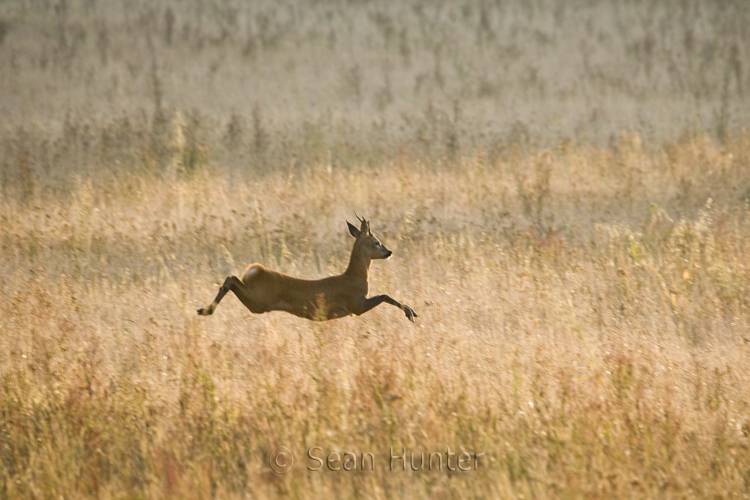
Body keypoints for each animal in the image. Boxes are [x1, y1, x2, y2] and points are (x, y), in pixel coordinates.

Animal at [200, 213, 420, 322]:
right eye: (376, 242)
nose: (389, 252)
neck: (354, 277)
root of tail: (255, 270)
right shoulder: (355, 304)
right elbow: (384, 295)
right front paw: (410, 312)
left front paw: (411, 311)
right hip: (261, 300)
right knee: (232, 279)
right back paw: (206, 309)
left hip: (257, 304)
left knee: (232, 279)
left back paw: (203, 309)